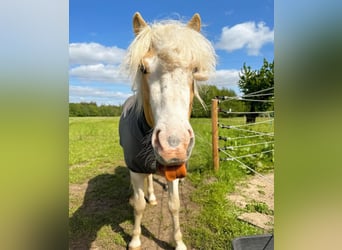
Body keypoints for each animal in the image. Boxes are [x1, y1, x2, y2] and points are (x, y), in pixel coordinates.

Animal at [119, 12, 215, 250]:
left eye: (194, 70)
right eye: (143, 68)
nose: (173, 145)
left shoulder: (174, 171)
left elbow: (174, 205)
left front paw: (178, 242)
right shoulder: (135, 169)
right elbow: (138, 206)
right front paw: (135, 240)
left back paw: (153, 198)